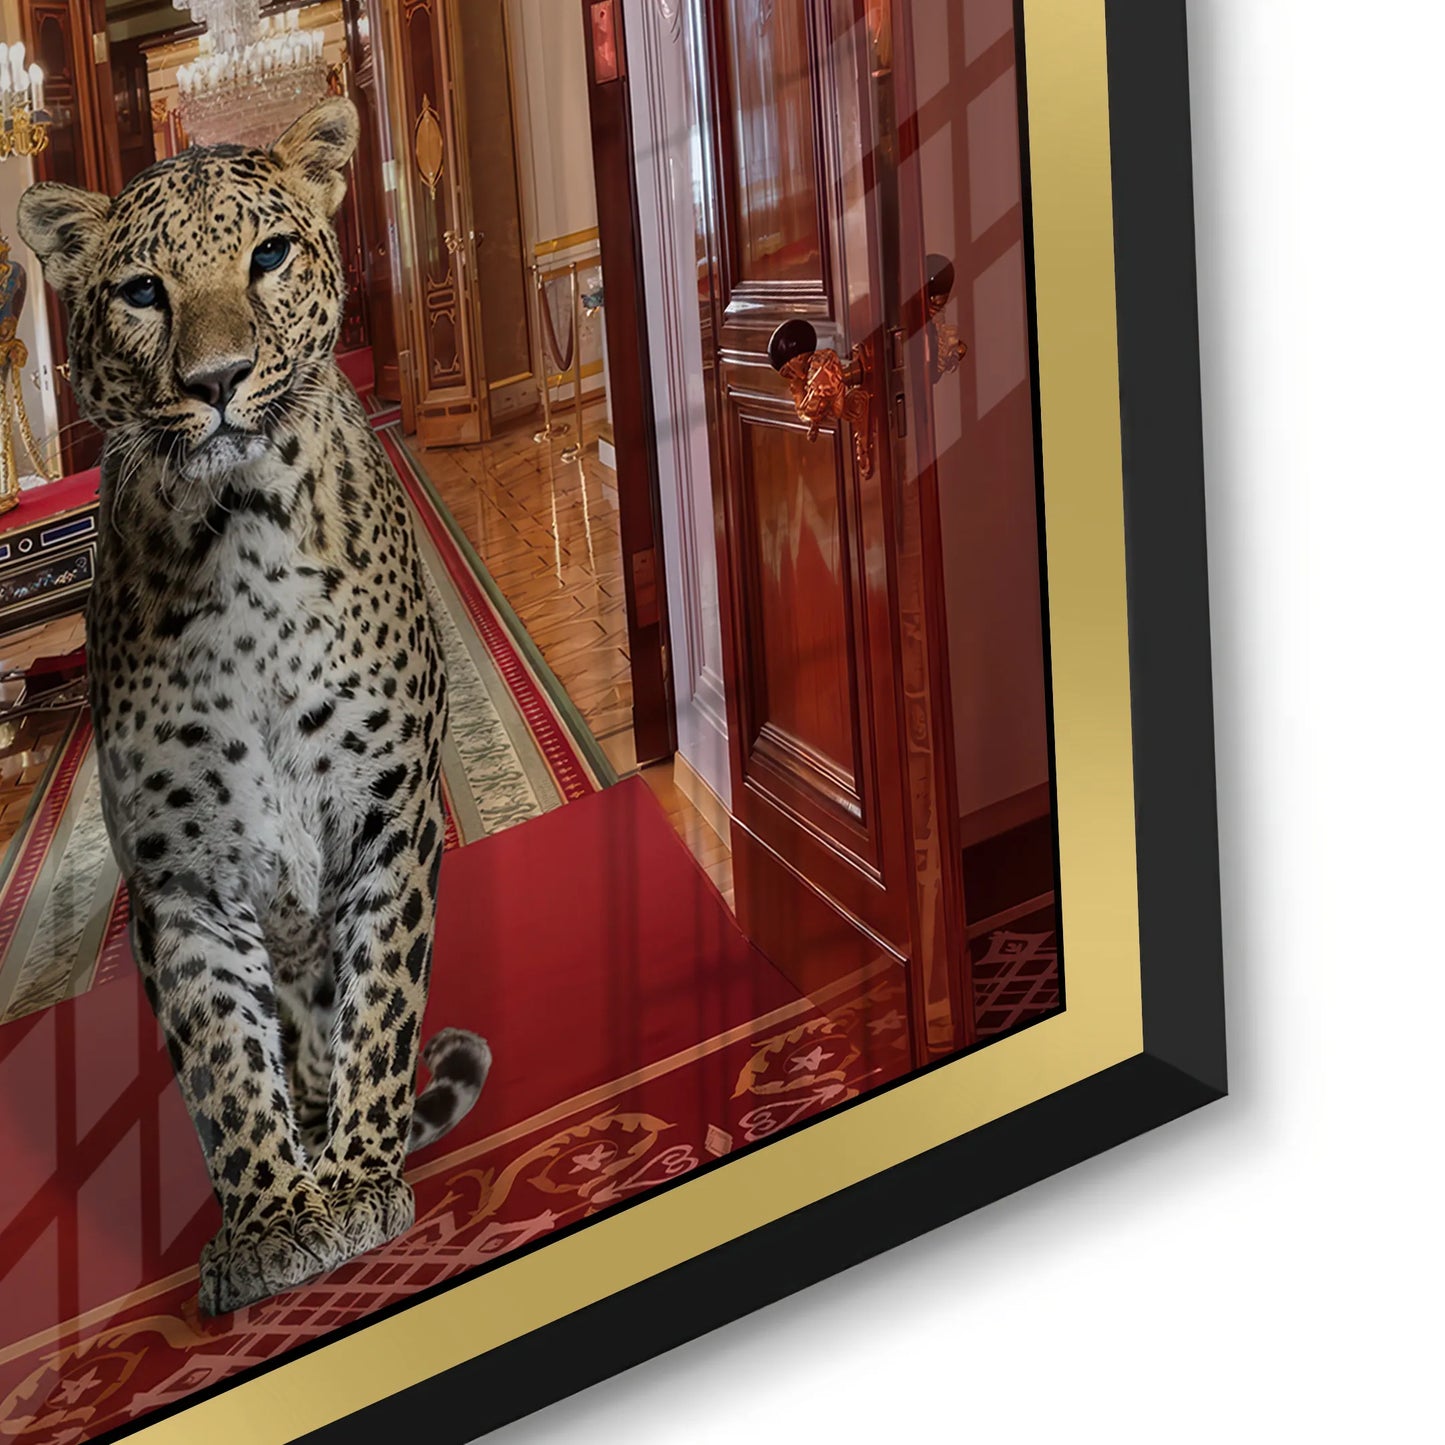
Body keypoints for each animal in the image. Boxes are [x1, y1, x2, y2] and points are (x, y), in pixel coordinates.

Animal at [17, 98, 492, 1316]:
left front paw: (358, 1178)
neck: (239, 539)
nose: (219, 378)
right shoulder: (179, 874)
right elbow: (223, 1060)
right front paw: (274, 1221)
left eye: (269, 257)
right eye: (143, 290)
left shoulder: (387, 818)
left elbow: (379, 1005)